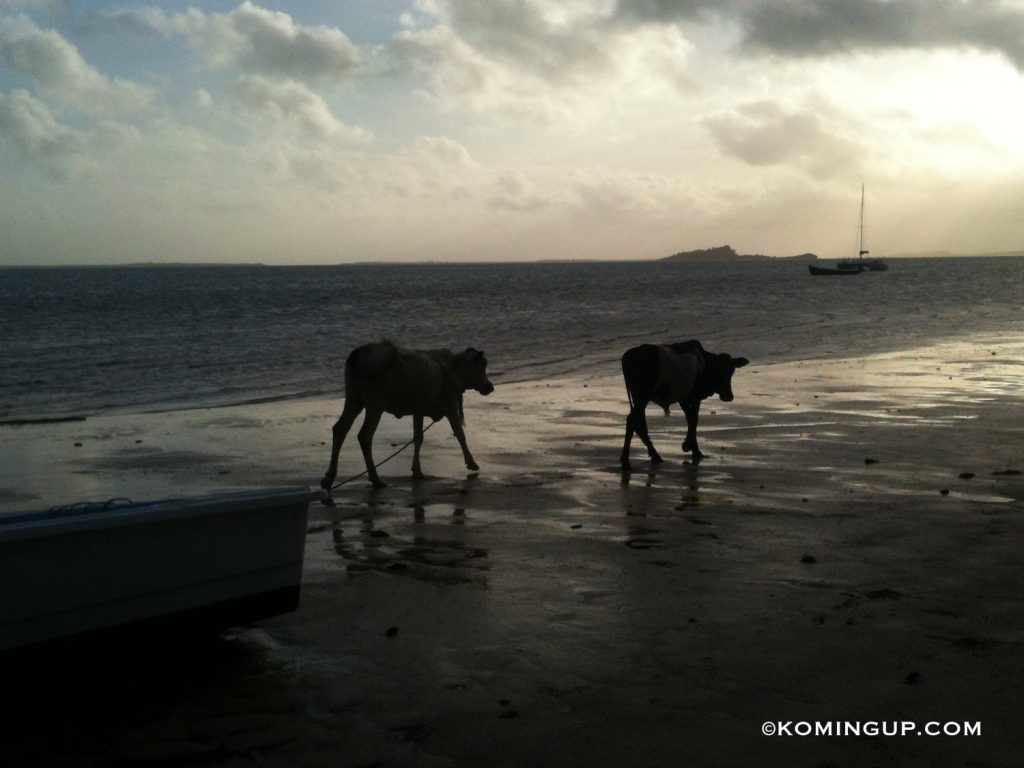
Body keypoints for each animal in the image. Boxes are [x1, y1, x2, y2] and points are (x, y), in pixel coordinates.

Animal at [618, 342, 749, 473]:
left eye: (731, 371)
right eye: (721, 371)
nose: (729, 396)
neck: (707, 363)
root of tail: (627, 356)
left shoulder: (685, 400)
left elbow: (690, 419)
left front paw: (689, 446)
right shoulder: (694, 398)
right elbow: (693, 420)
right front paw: (692, 449)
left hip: (638, 397)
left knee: (638, 422)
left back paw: (654, 456)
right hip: (643, 395)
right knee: (633, 420)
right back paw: (627, 462)